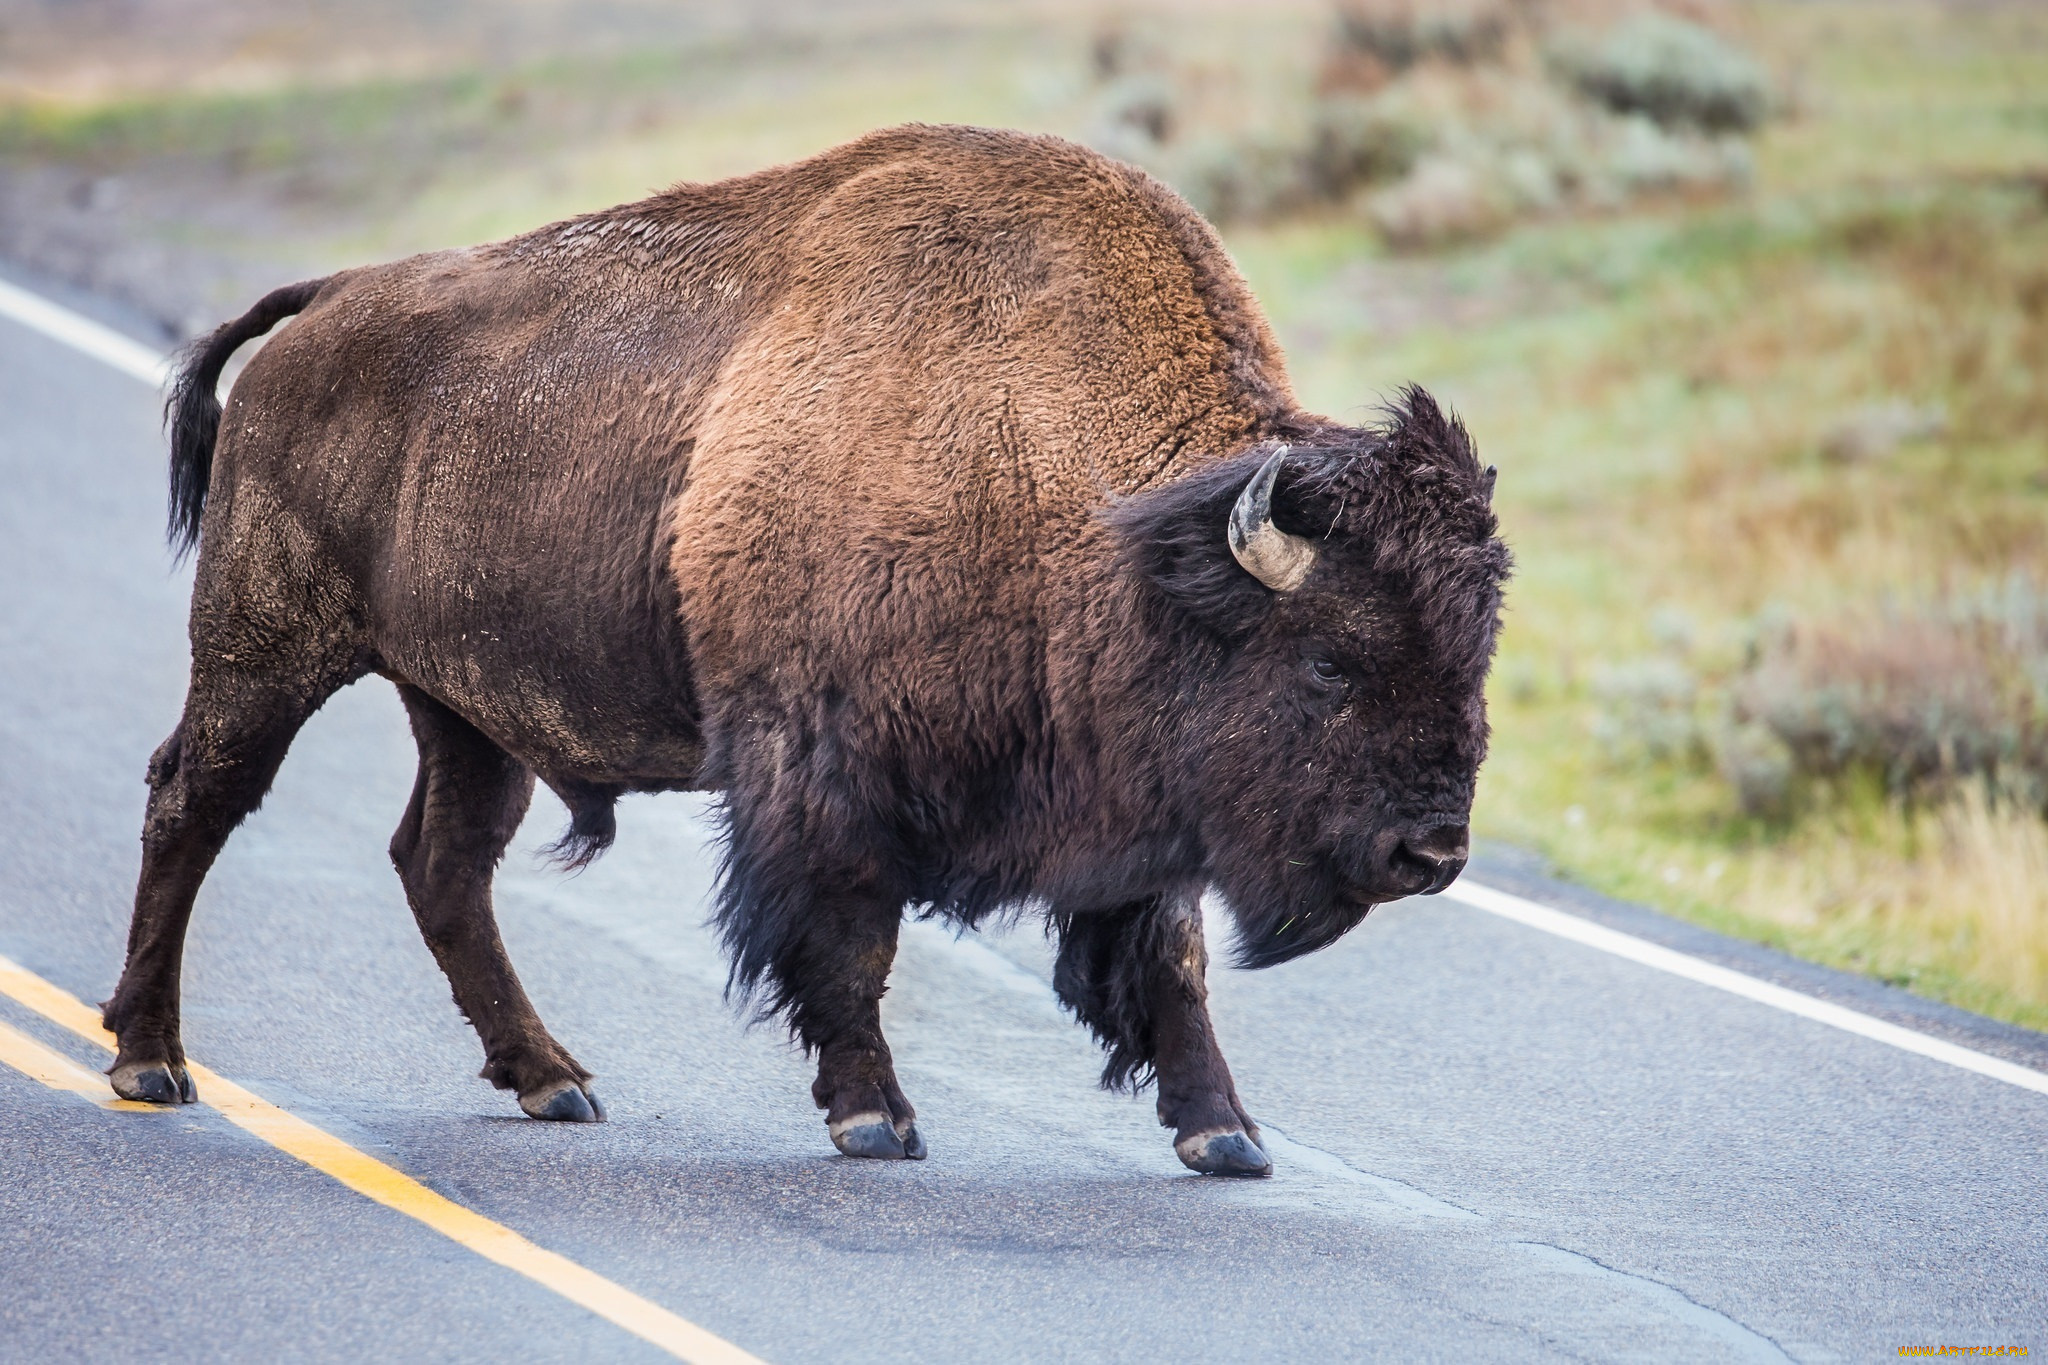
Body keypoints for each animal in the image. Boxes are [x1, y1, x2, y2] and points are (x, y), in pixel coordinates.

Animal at [108, 122, 1507, 1178]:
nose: (1430, 854)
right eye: (1328, 664)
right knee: (194, 801)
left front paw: (1225, 1137)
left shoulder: (1132, 802)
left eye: (1473, 657)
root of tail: (324, 304)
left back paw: (551, 1082)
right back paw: (148, 1059)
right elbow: (850, 942)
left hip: (463, 709)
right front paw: (875, 1119)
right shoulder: (824, 770)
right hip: (264, 650)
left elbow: (1169, 958)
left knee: (441, 863)